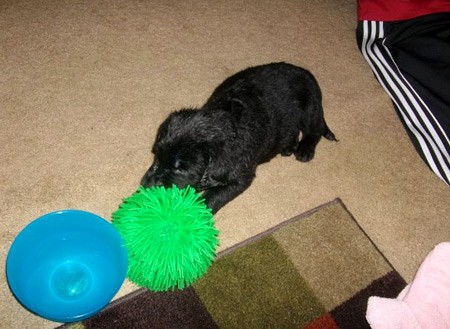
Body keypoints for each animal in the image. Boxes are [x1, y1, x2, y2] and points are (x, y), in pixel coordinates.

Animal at [142, 62, 336, 213]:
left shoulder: (241, 178)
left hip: (310, 107)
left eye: (180, 170)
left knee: (314, 130)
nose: (146, 185)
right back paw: (289, 146)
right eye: (156, 156)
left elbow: (213, 196)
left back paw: (305, 150)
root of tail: (304, 71)